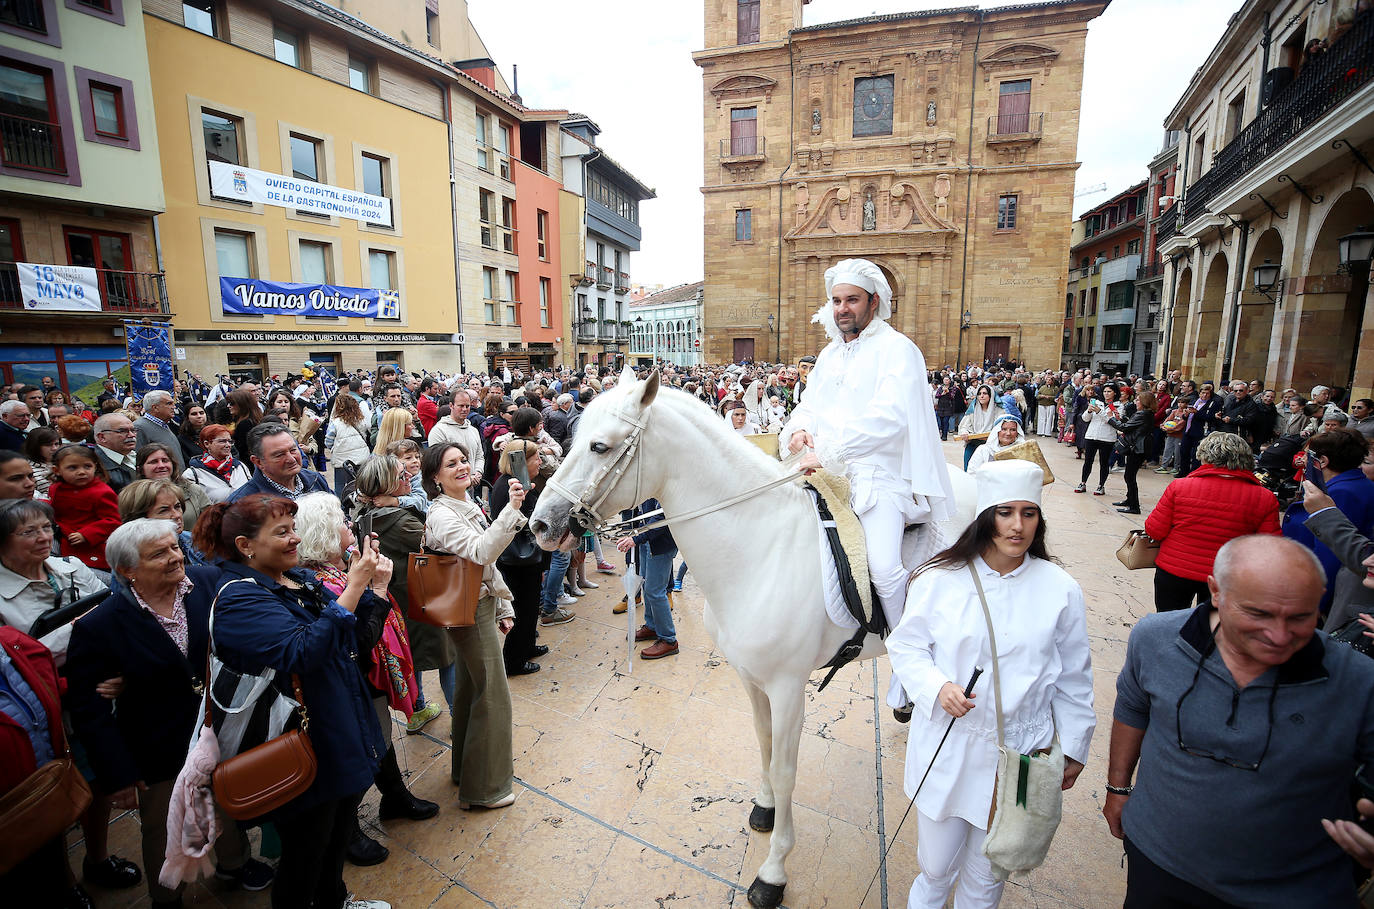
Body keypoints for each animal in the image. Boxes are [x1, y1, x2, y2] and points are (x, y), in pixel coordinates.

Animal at [527, 373, 978, 909]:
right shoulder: (750, 677)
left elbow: (784, 770)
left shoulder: (787, 688)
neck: (759, 546)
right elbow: (763, 745)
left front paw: (773, 871)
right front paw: (764, 807)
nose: (539, 524)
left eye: (600, 446)